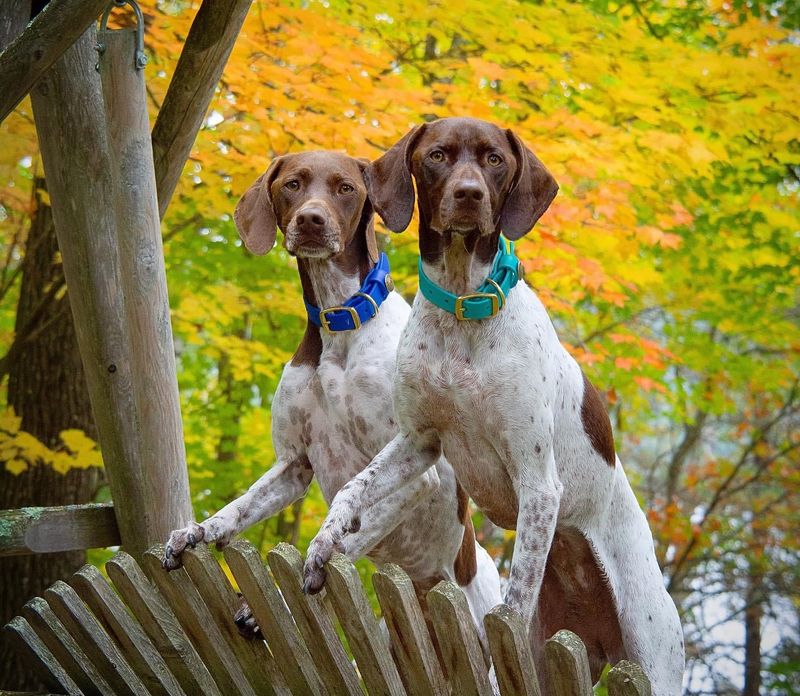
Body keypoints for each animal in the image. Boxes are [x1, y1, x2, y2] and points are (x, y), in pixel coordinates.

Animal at [162, 151, 500, 640]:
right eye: (292, 184)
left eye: (345, 188)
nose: (311, 220)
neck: (339, 318)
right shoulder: (293, 465)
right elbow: (238, 508)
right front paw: (199, 531)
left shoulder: (418, 476)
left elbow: (341, 540)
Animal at [304, 122, 684, 692]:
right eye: (438, 155)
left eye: (495, 160)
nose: (469, 194)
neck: (464, 306)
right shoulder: (418, 443)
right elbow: (355, 486)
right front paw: (324, 543)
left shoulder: (538, 482)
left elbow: (516, 599)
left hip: (652, 662)